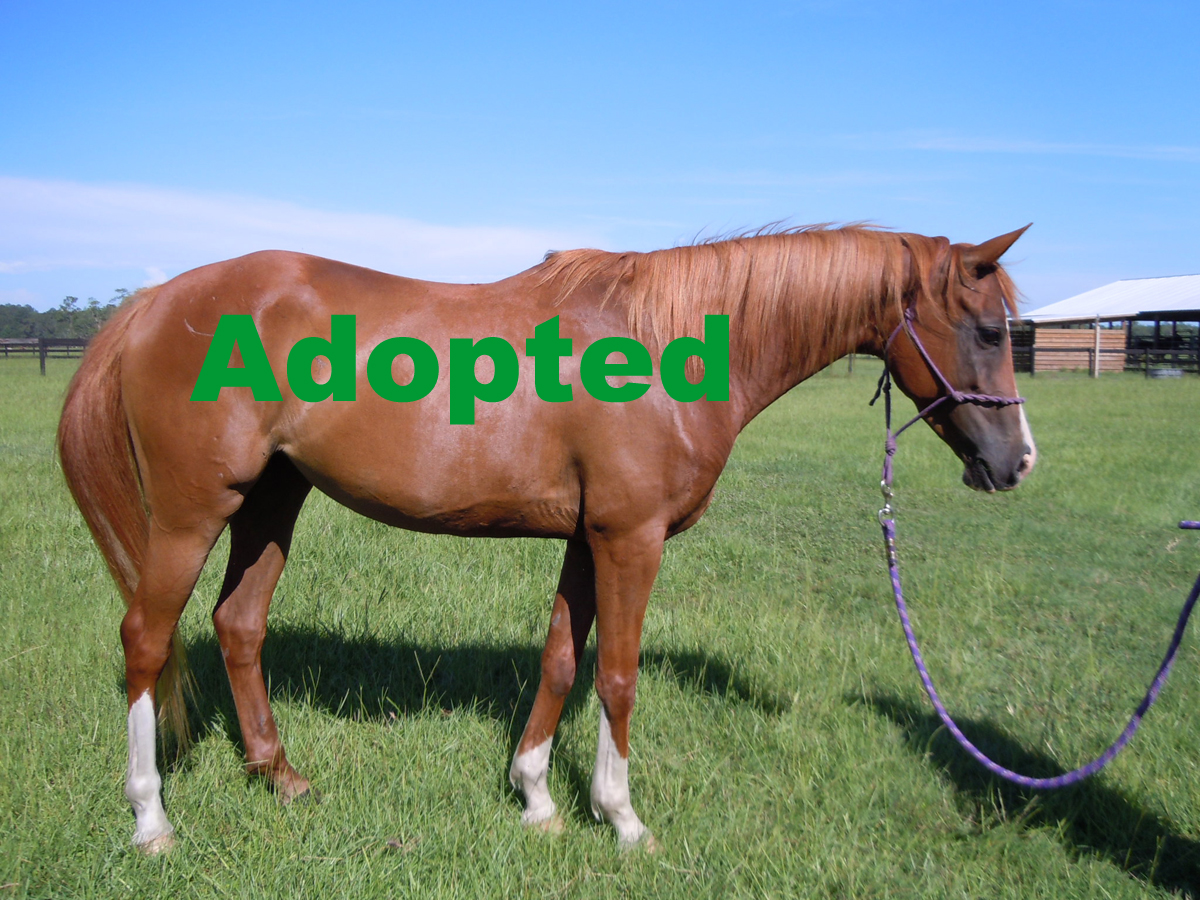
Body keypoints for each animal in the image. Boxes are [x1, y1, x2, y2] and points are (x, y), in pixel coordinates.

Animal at [57, 224, 1036, 853]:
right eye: (989, 329)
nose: (1017, 461)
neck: (666, 347)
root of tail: (155, 300)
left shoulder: (585, 538)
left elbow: (562, 659)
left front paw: (535, 798)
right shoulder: (631, 538)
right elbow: (618, 675)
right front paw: (622, 818)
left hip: (271, 499)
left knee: (238, 625)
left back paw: (281, 777)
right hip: (193, 513)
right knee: (147, 639)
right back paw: (151, 820)